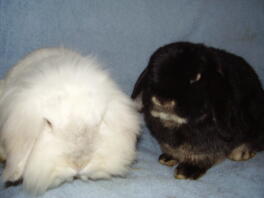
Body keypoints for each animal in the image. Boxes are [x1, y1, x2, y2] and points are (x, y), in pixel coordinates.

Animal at [131, 41, 264, 179]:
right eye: (152, 74)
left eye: (196, 78)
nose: (162, 100)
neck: (174, 123)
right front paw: (167, 158)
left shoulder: (209, 144)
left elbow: (203, 155)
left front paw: (186, 171)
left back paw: (242, 153)